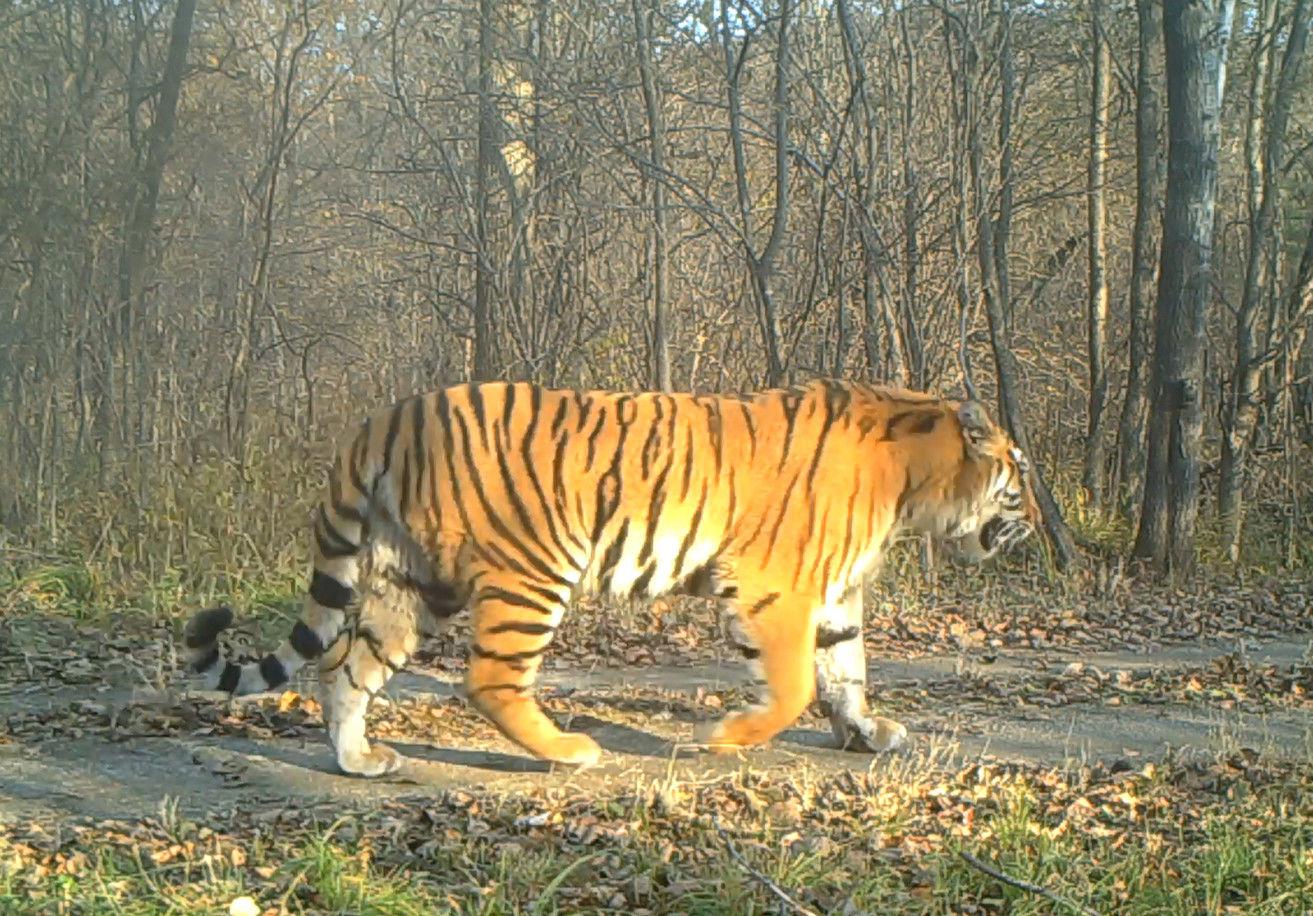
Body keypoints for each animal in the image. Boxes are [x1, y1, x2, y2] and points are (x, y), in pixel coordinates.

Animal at [185, 375, 1039, 771]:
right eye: (1018, 477)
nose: (1037, 517)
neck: (911, 481)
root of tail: (385, 417)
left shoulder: (830, 594)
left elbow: (846, 671)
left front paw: (866, 732)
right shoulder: (775, 587)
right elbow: (796, 684)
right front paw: (725, 737)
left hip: (411, 583)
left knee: (345, 669)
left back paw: (359, 761)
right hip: (533, 570)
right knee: (487, 681)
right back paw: (566, 751)